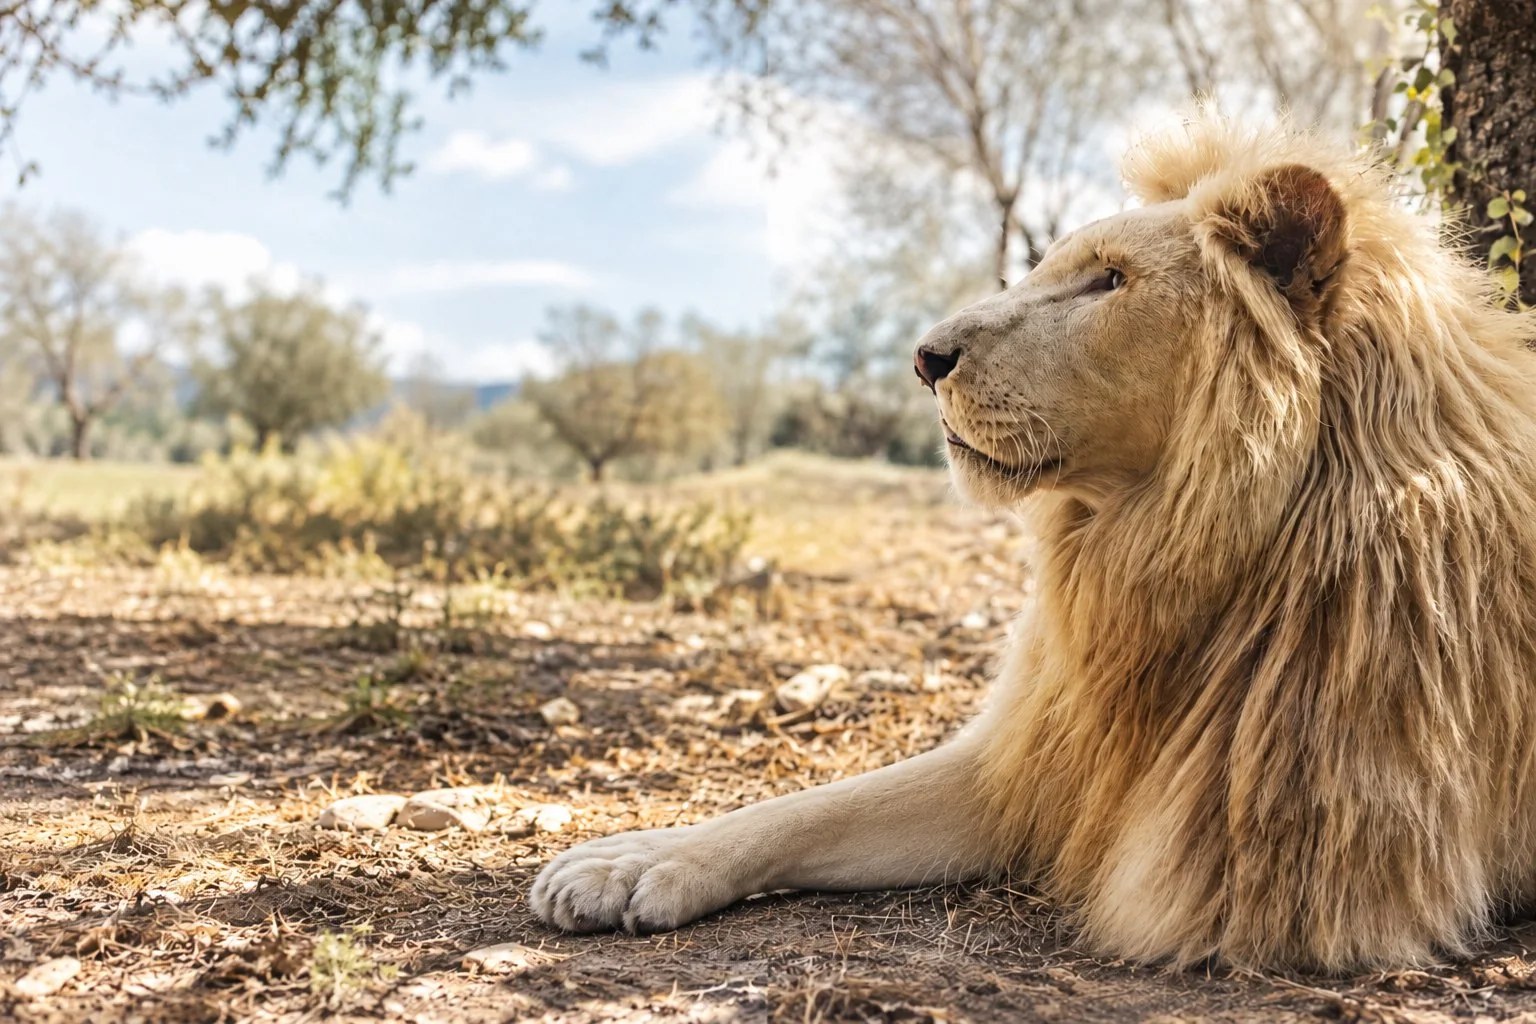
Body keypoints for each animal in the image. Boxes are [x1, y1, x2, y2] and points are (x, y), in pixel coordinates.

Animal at [531, 113, 1536, 971]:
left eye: (1109, 281)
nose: (924, 358)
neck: (1161, 544)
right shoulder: (1029, 752)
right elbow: (817, 804)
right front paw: (632, 859)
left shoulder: (1294, 859)